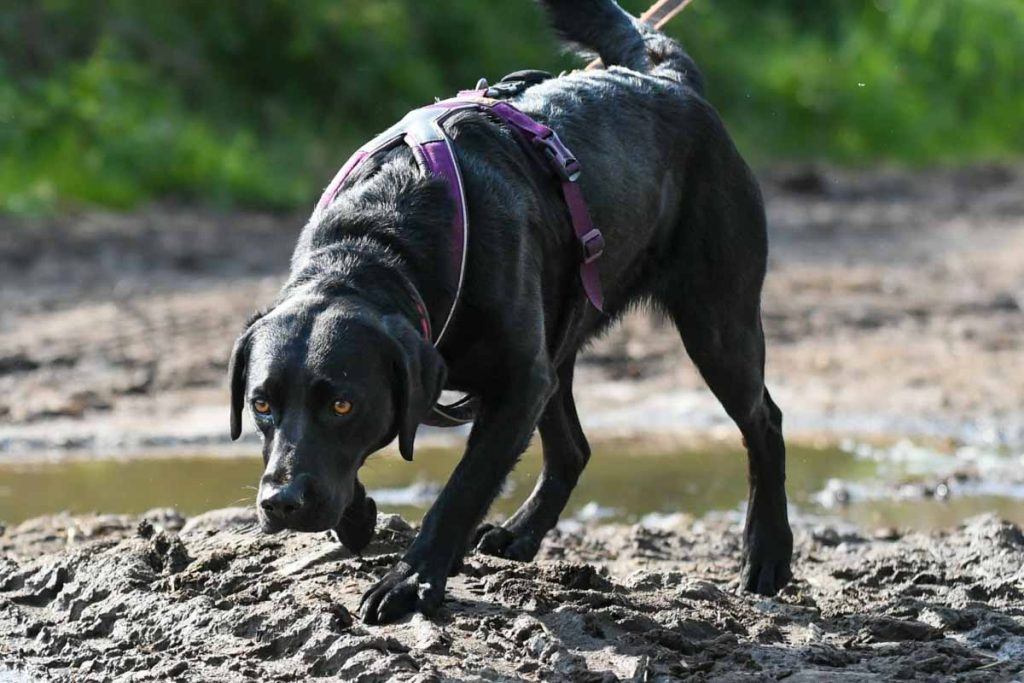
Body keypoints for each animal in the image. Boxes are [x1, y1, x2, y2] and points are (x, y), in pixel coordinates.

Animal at [230, 0, 790, 626]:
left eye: (341, 405)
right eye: (261, 405)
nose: (279, 502)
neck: (378, 241)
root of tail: (666, 79)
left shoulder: (519, 384)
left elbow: (462, 489)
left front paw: (410, 580)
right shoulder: (521, 377)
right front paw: (359, 518)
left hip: (717, 324)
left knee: (764, 422)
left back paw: (767, 554)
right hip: (561, 343)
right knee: (573, 449)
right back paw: (522, 534)